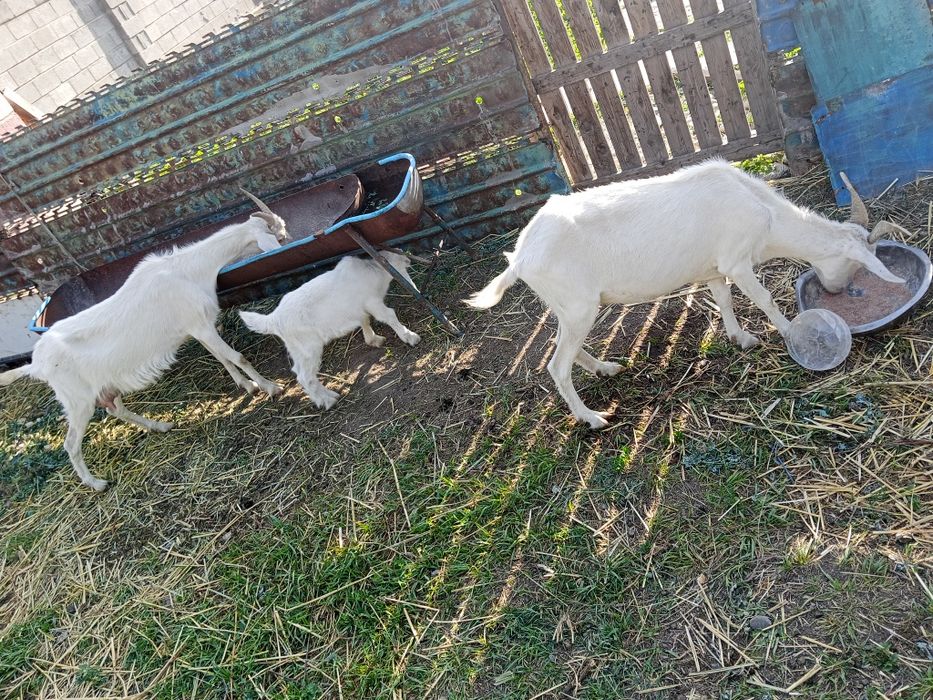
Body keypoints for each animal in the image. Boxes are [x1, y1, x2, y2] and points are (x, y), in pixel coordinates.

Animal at [0, 191, 289, 491]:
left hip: (105, 387)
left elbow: (222, 358)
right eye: (278, 235)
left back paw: (160, 426)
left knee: (117, 410)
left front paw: (248, 386)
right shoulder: (200, 325)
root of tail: (36, 364)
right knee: (71, 443)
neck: (187, 270)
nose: (288, 241)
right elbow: (236, 356)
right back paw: (96, 483)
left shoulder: (198, 327)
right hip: (77, 400)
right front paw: (270, 387)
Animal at [239, 251, 421, 409]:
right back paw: (327, 400)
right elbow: (389, 316)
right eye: (396, 258)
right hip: (309, 348)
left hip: (297, 348)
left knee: (300, 372)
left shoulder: (359, 308)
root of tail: (274, 318)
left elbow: (364, 319)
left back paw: (326, 396)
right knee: (305, 376)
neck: (372, 271)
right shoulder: (372, 302)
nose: (409, 260)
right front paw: (410, 337)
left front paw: (373, 339)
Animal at [467, 160, 907, 429]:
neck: (763, 211)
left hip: (567, 306)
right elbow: (763, 298)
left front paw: (741, 338)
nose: (838, 290)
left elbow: (725, 299)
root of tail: (520, 256)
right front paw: (793, 333)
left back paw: (606, 368)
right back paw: (592, 418)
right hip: (577, 304)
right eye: (854, 265)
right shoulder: (736, 259)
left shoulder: (713, 268)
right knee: (557, 365)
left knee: (563, 347)